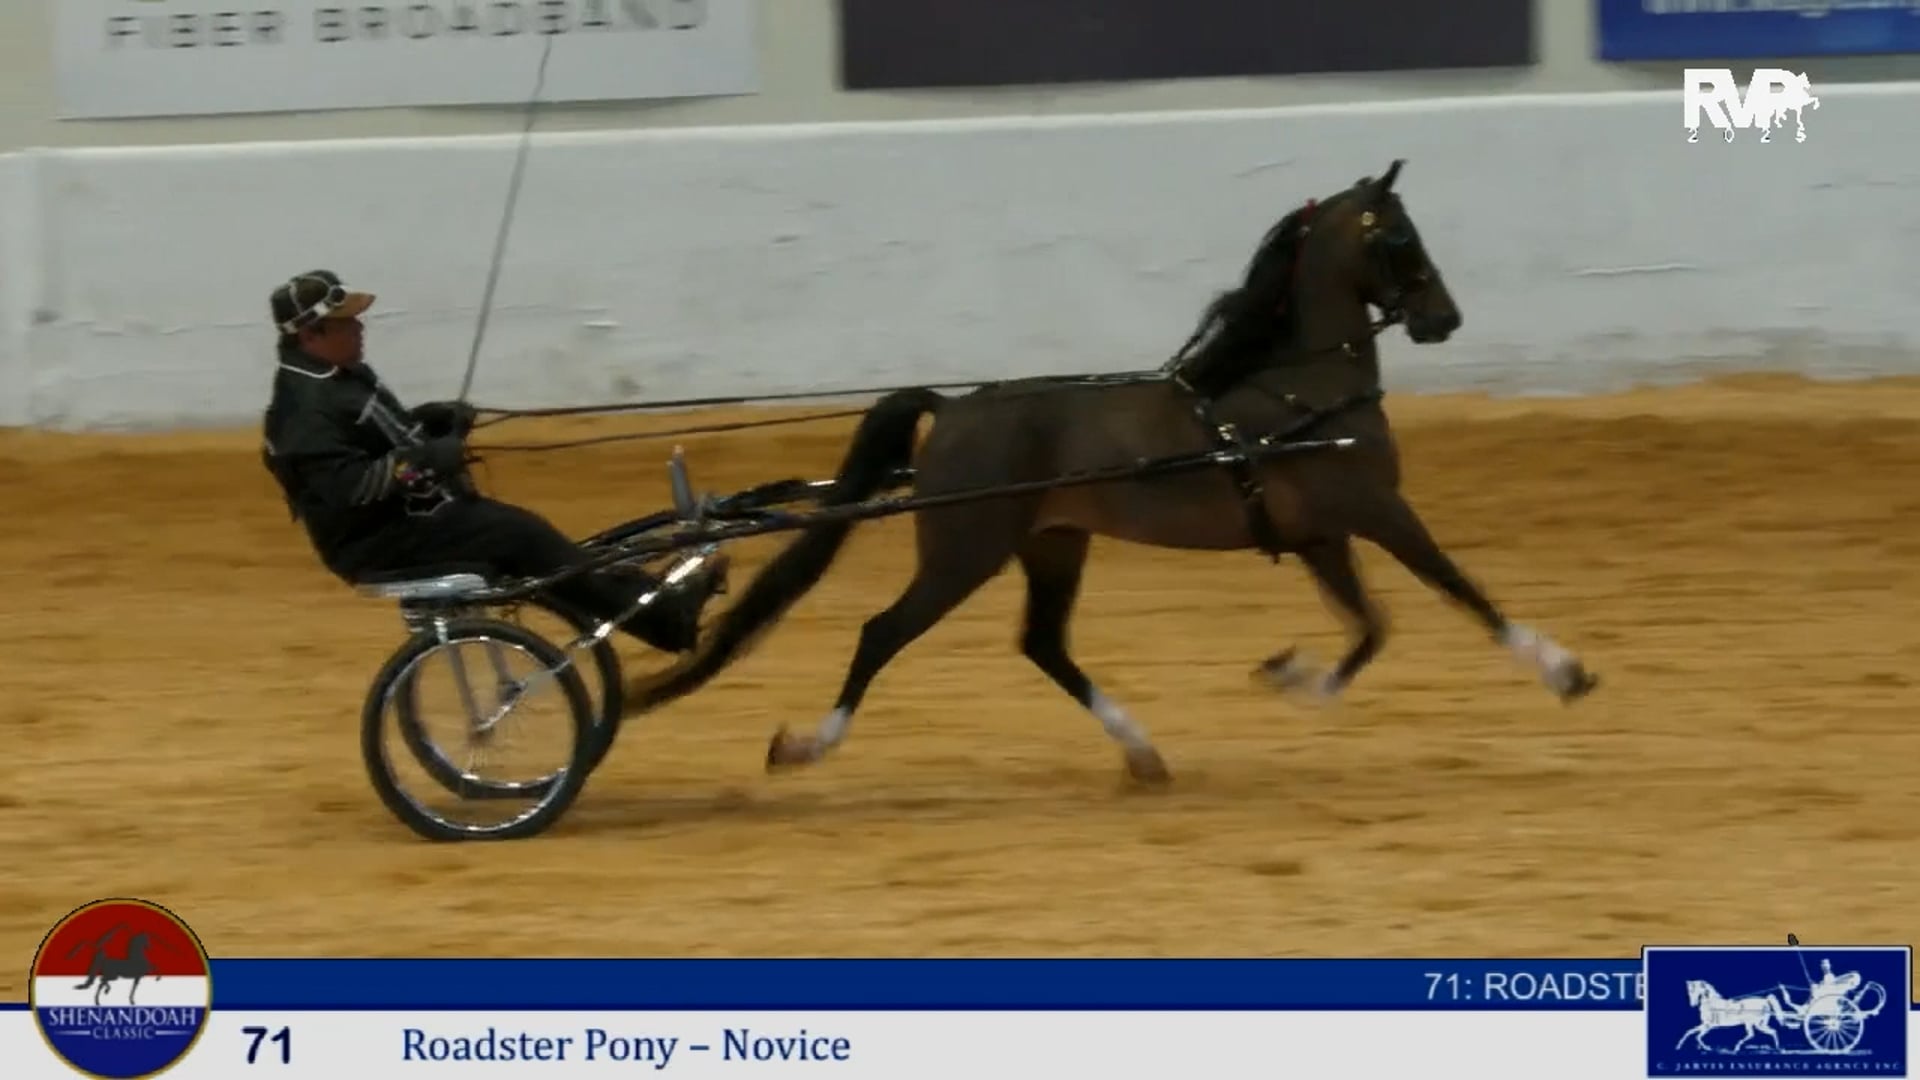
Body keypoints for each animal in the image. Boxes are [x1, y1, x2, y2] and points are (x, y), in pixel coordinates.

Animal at [629, 158, 1599, 783]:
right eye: (1398, 235)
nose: (1445, 317)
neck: (1301, 387)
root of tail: (956, 409)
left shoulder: (1321, 535)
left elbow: (1371, 630)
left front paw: (1288, 675)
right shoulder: (1377, 509)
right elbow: (1460, 593)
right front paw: (1564, 672)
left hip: (1054, 543)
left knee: (1044, 645)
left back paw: (1140, 750)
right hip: (965, 551)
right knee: (883, 633)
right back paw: (808, 746)